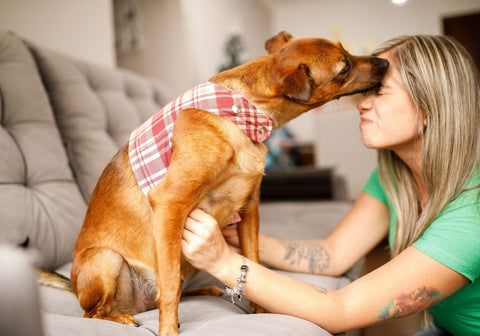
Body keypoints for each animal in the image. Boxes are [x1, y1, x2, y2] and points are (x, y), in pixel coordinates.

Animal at [69, 30, 388, 334]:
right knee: (95, 313)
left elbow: (252, 260)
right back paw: (120, 318)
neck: (241, 111)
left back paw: (203, 290)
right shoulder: (170, 203)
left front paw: (261, 311)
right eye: (344, 67)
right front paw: (168, 329)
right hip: (106, 258)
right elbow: (169, 285)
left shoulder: (249, 210)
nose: (384, 63)